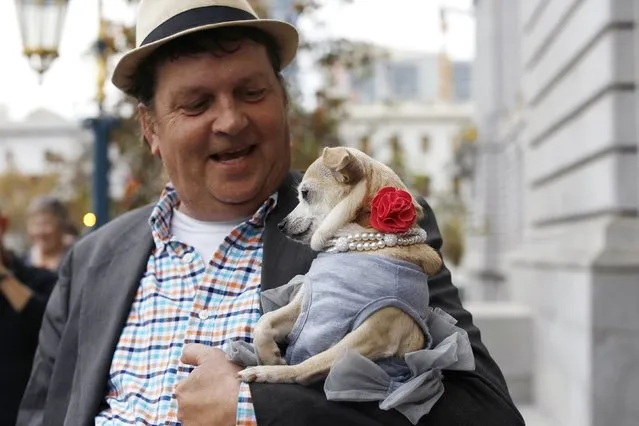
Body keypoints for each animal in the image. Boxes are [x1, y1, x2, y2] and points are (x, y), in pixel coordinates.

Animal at [238, 147, 442, 386]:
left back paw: (269, 373)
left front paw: (270, 365)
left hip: (353, 344)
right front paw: (270, 356)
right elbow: (264, 321)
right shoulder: (302, 305)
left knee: (305, 369)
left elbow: (308, 363)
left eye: (305, 193)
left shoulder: (376, 332)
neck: (355, 242)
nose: (280, 224)